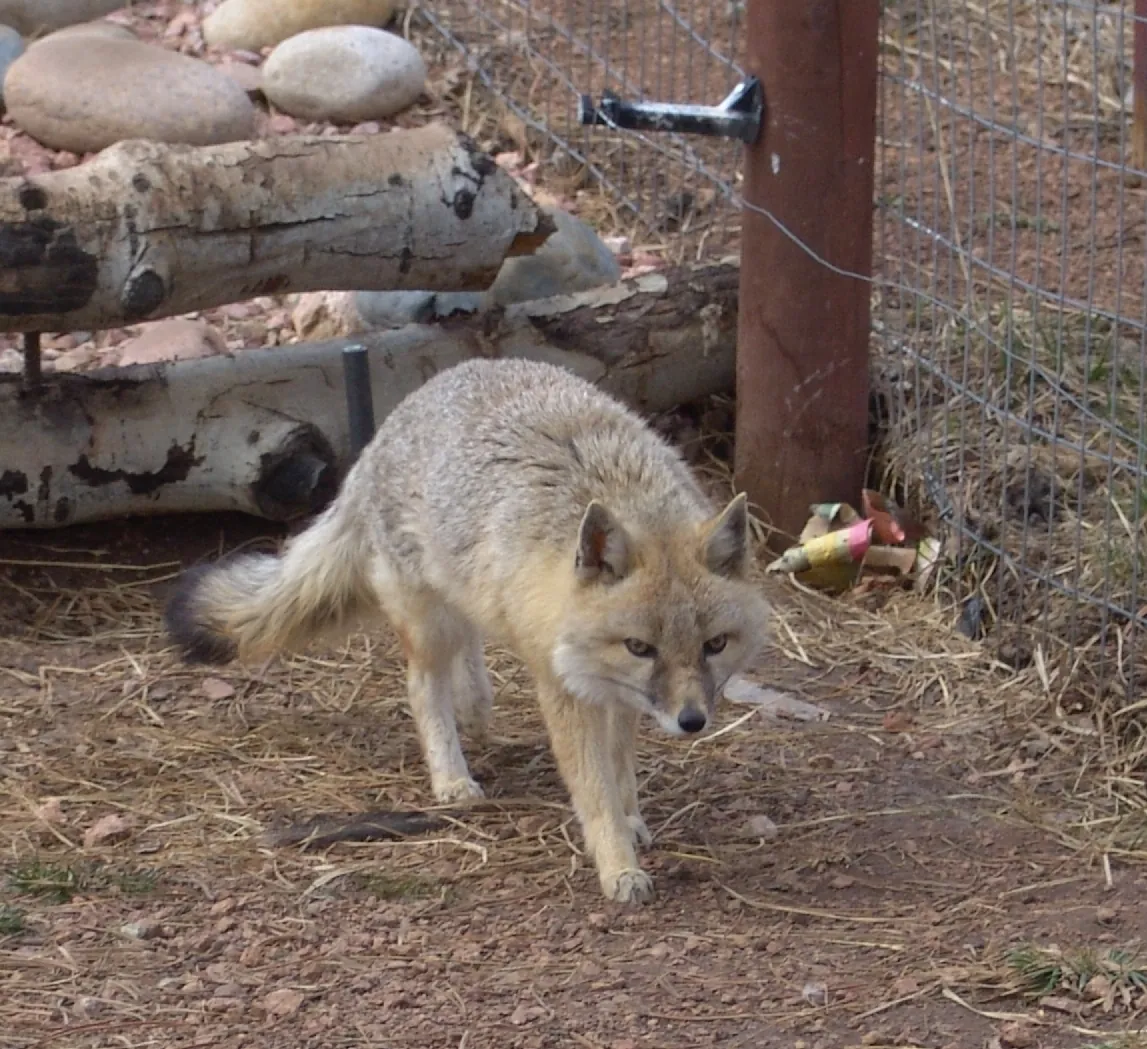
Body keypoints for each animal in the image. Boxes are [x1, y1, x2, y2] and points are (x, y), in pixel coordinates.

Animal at [165, 357, 771, 903]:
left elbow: (620, 769)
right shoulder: (566, 688)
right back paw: (451, 775)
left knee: (470, 640)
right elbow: (594, 787)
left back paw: (476, 701)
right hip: (427, 623)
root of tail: (388, 428)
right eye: (641, 647)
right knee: (422, 686)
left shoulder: (616, 693)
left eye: (714, 645)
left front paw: (632, 819)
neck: (622, 493)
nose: (692, 722)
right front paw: (618, 864)